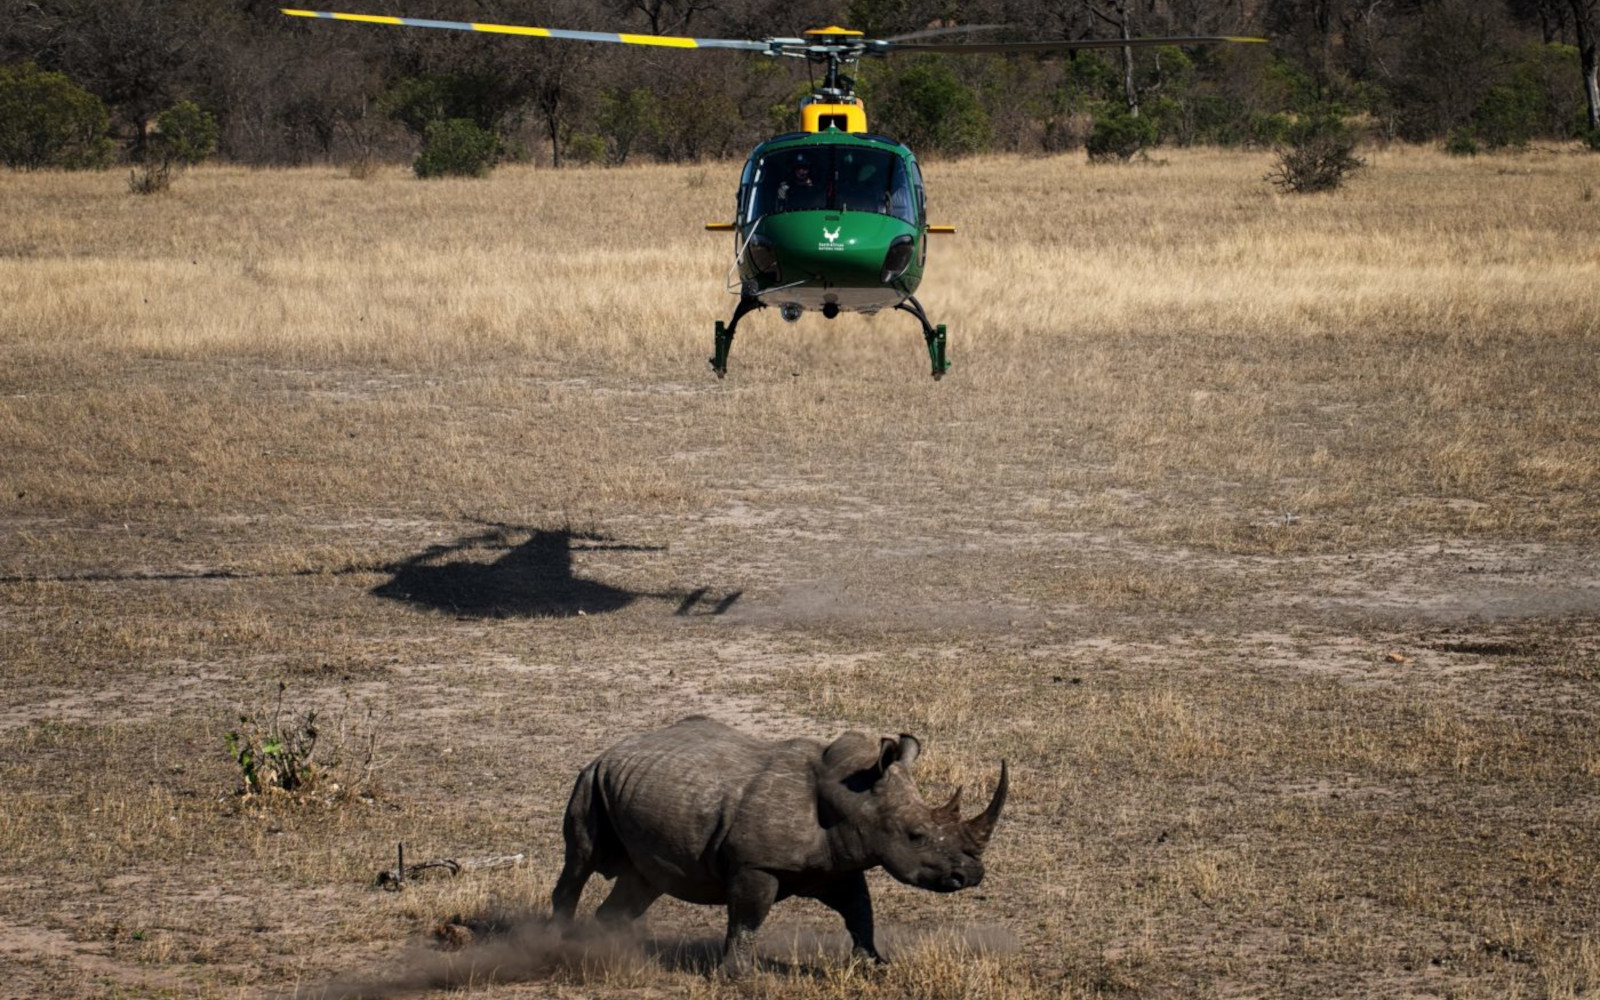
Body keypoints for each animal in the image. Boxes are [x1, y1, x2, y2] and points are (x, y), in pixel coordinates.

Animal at [547, 713, 998, 972]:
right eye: (916, 836)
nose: (971, 874)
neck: (853, 799)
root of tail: (609, 750)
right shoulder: (756, 864)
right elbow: (747, 918)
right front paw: (740, 976)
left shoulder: (838, 862)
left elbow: (859, 912)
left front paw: (875, 965)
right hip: (589, 781)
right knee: (580, 862)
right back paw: (557, 944)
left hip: (638, 792)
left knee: (642, 882)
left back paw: (607, 951)